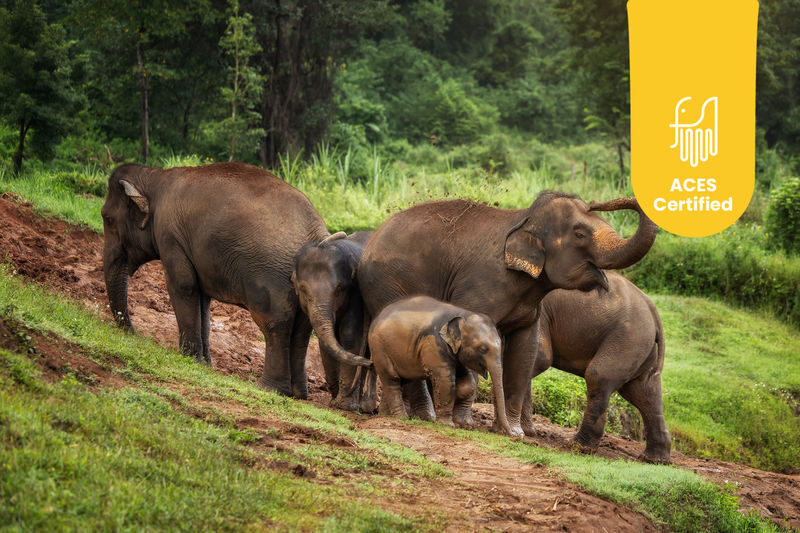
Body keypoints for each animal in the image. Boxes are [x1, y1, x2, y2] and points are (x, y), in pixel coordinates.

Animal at [101, 162, 370, 398]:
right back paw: (297, 393)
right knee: (302, 329)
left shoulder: (170, 235)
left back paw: (269, 388)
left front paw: (188, 360)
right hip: (305, 288)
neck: (154, 176)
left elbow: (184, 286)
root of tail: (316, 231)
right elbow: (202, 299)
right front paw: (204, 365)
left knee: (275, 324)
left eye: (107, 219)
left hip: (270, 276)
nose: (133, 334)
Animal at [292, 230, 377, 412]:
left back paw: (367, 406)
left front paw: (344, 406)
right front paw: (334, 402)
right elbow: (326, 342)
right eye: (303, 289)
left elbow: (351, 336)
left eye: (339, 288)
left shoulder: (356, 294)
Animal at [369, 295, 512, 434]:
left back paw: (385, 415)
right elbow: (445, 382)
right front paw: (447, 425)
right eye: (483, 349)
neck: (462, 314)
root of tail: (378, 316)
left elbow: (468, 382)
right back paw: (401, 417)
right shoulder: (435, 344)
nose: (511, 435)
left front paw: (462, 423)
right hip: (379, 349)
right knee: (391, 379)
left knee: (402, 379)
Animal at [534, 271, 671, 463]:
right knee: (643, 392)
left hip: (628, 338)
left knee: (598, 375)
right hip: (641, 345)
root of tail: (653, 309)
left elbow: (540, 356)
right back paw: (654, 459)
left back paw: (578, 447)